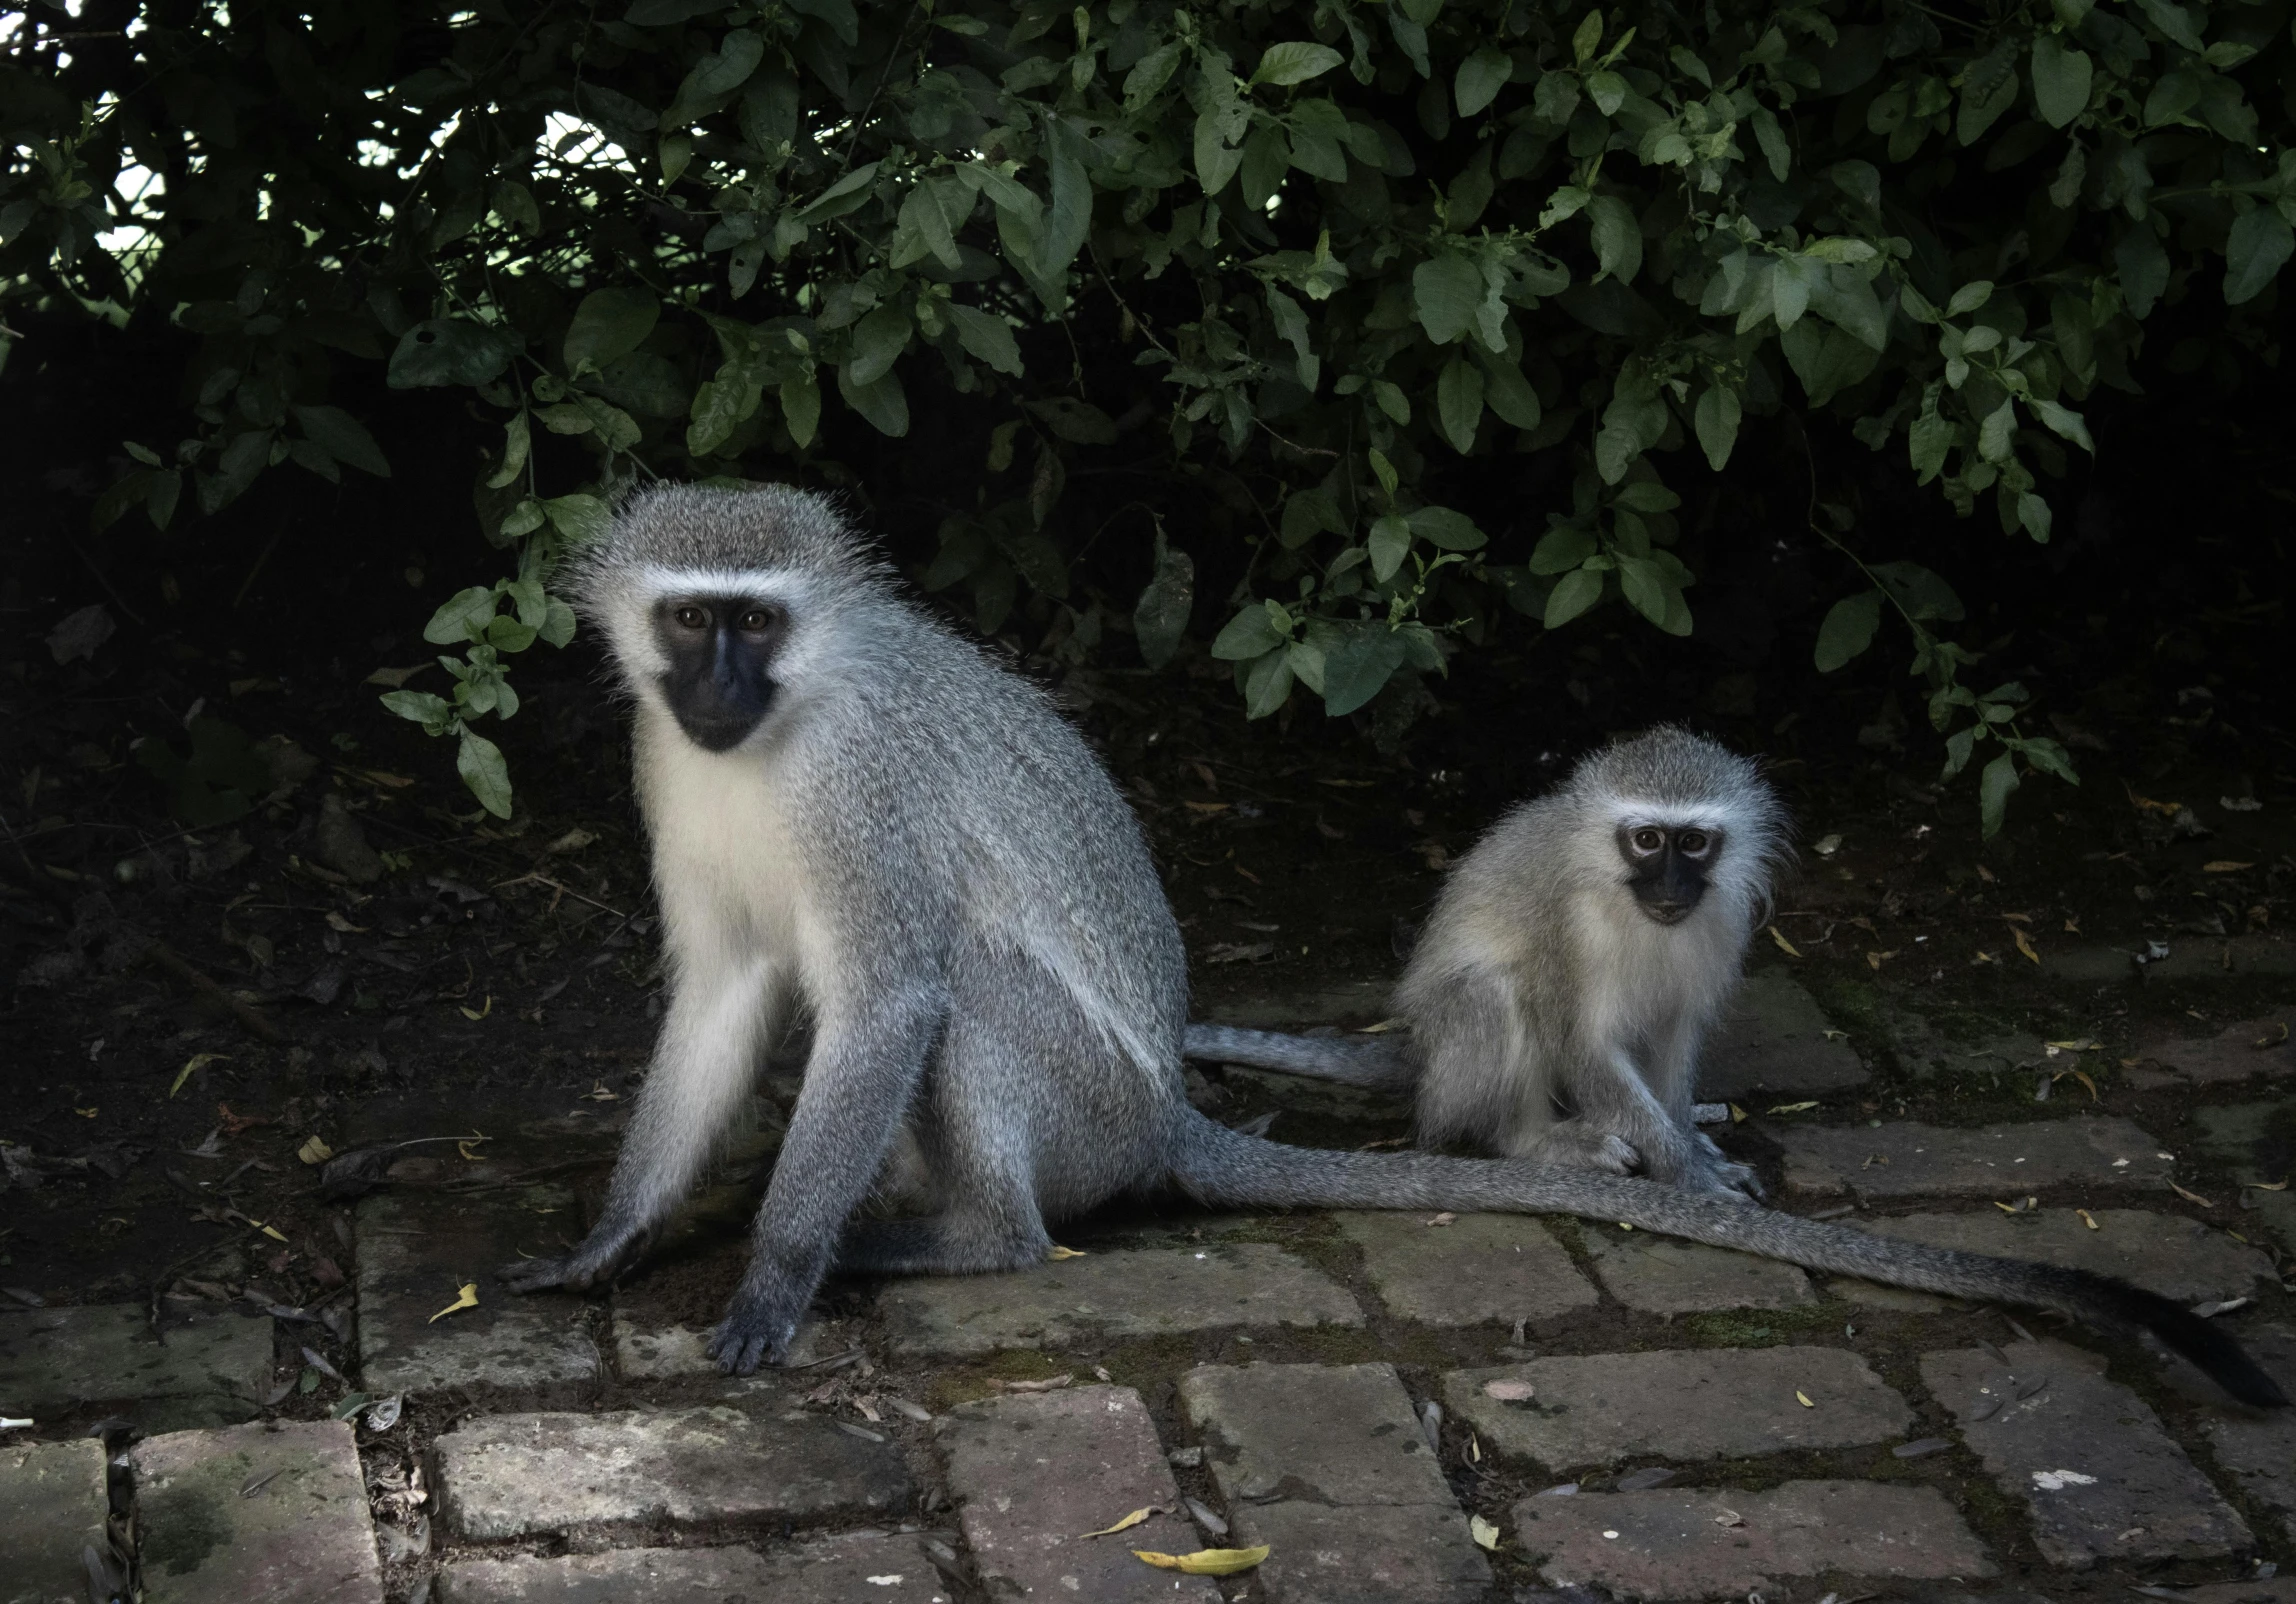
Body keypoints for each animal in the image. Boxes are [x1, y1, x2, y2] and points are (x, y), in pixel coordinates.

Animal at [1184, 734, 1790, 1202]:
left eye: (1692, 843)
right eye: (1646, 840)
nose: (1669, 886)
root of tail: (1421, 1052)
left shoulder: (1725, 917)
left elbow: (1676, 1031)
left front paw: (1690, 1144)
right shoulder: (1572, 927)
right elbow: (1582, 1045)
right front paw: (1691, 1175)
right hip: (1455, 1064)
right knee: (1493, 991)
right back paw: (1532, 1140)